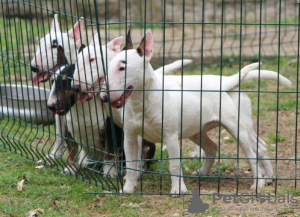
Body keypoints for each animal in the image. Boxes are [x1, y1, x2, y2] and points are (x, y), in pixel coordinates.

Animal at [99, 30, 292, 195]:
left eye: (122, 68)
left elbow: (175, 165)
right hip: (198, 131)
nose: (103, 97)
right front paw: (128, 188)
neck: (142, 101)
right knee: (221, 147)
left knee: (252, 153)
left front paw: (178, 190)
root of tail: (226, 82)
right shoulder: (130, 137)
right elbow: (131, 165)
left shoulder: (170, 137)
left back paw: (259, 182)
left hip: (238, 128)